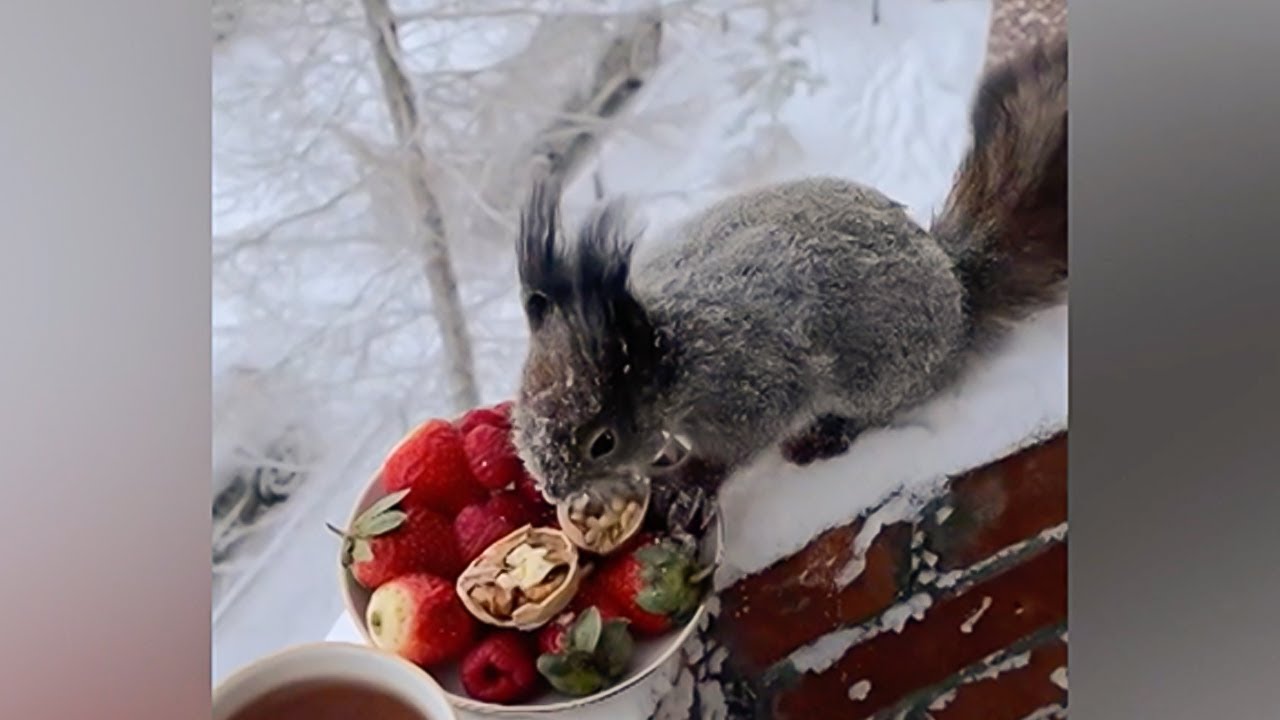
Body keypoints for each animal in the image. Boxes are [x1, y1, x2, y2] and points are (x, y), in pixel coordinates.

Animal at [504, 37, 1064, 515]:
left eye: (603, 442)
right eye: (523, 424)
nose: (553, 490)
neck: (667, 345)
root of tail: (956, 286)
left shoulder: (743, 384)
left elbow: (740, 442)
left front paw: (688, 480)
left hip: (882, 372)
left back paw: (826, 436)